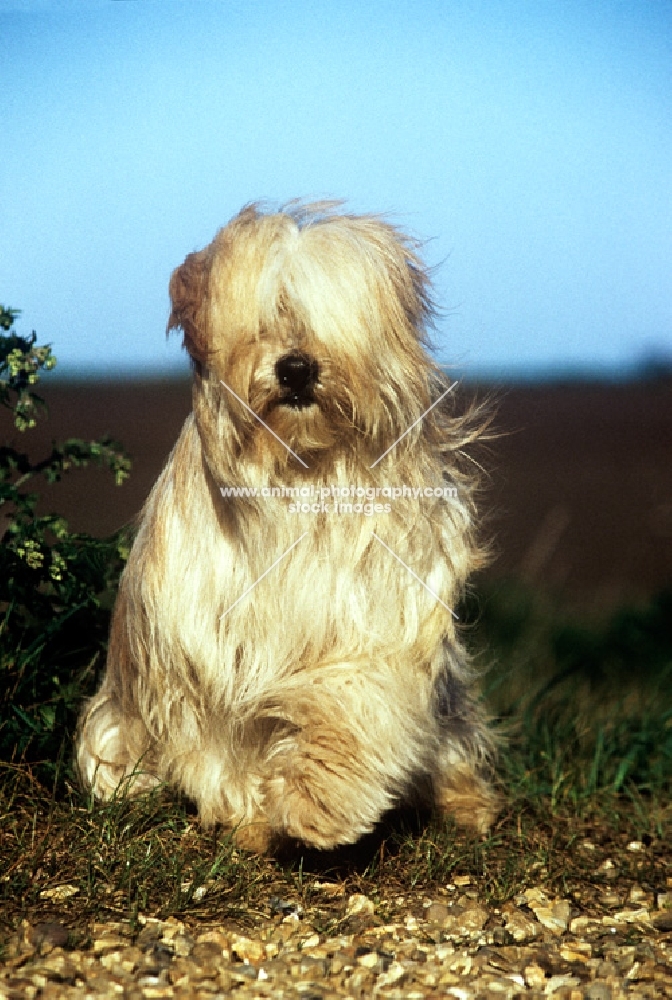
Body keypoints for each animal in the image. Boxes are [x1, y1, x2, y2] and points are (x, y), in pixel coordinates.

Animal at [79, 203, 498, 852]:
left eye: (326, 320)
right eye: (263, 321)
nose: (297, 366)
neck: (302, 476)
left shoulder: (379, 621)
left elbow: (353, 700)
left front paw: (319, 801)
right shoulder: (203, 652)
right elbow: (219, 747)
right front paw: (251, 818)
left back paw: (463, 803)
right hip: (112, 733)